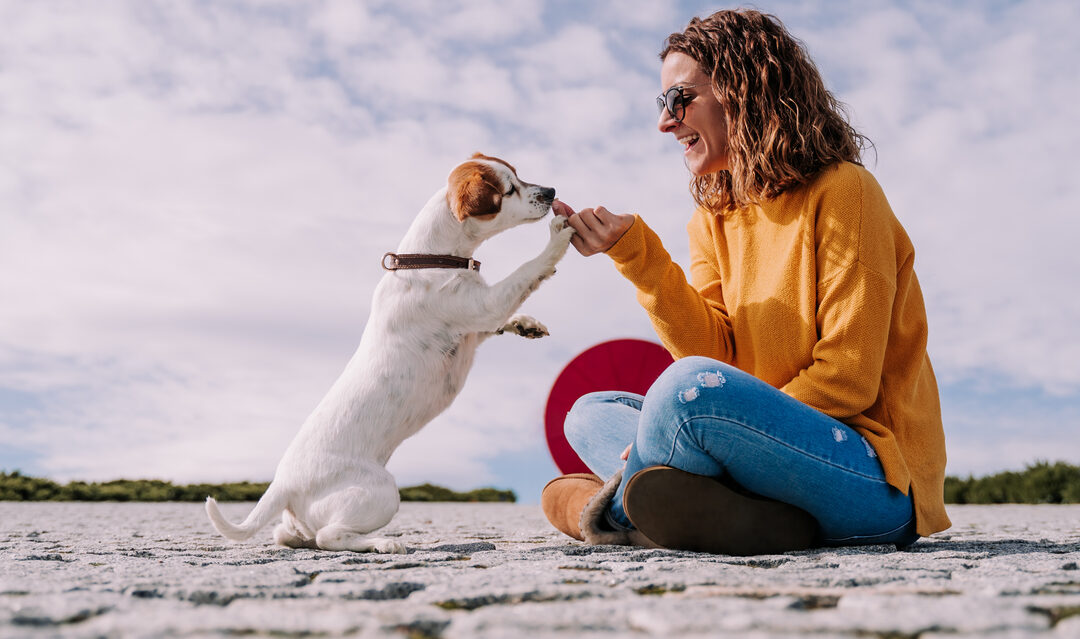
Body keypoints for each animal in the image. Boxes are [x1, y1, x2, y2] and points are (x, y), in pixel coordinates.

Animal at [203, 152, 574, 552]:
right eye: (509, 189)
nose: (551, 191)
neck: (430, 258)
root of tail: (282, 485)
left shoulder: (477, 325)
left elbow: (506, 316)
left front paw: (526, 324)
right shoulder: (484, 305)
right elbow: (525, 272)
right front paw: (558, 237)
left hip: (307, 519)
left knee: (293, 535)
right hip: (380, 492)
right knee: (330, 536)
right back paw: (383, 543)